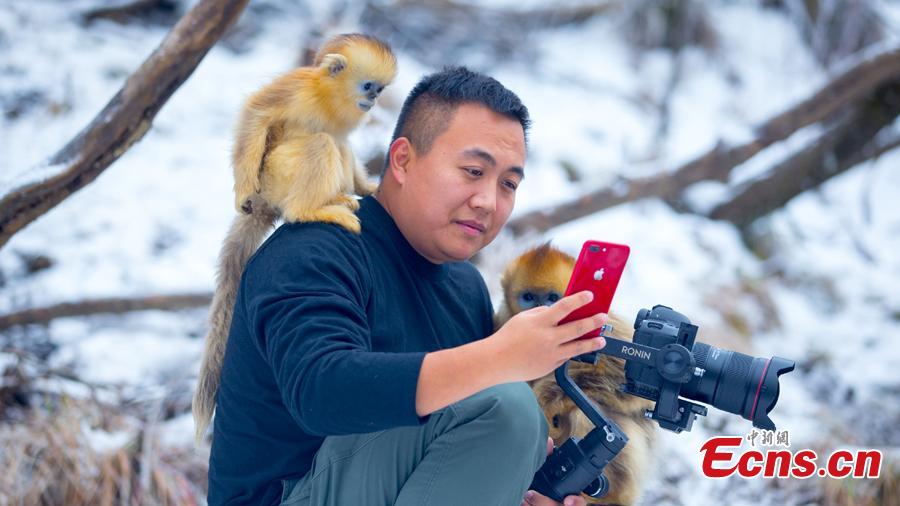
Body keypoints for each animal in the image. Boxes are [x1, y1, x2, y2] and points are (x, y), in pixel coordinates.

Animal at [193, 32, 398, 442]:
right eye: (368, 86)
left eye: (380, 90)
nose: (373, 101)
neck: (327, 97)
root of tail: (267, 203)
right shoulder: (297, 88)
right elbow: (256, 114)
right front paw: (241, 190)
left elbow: (345, 144)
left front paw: (367, 187)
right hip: (275, 177)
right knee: (321, 144)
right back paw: (309, 210)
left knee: (337, 145)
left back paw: (336, 198)